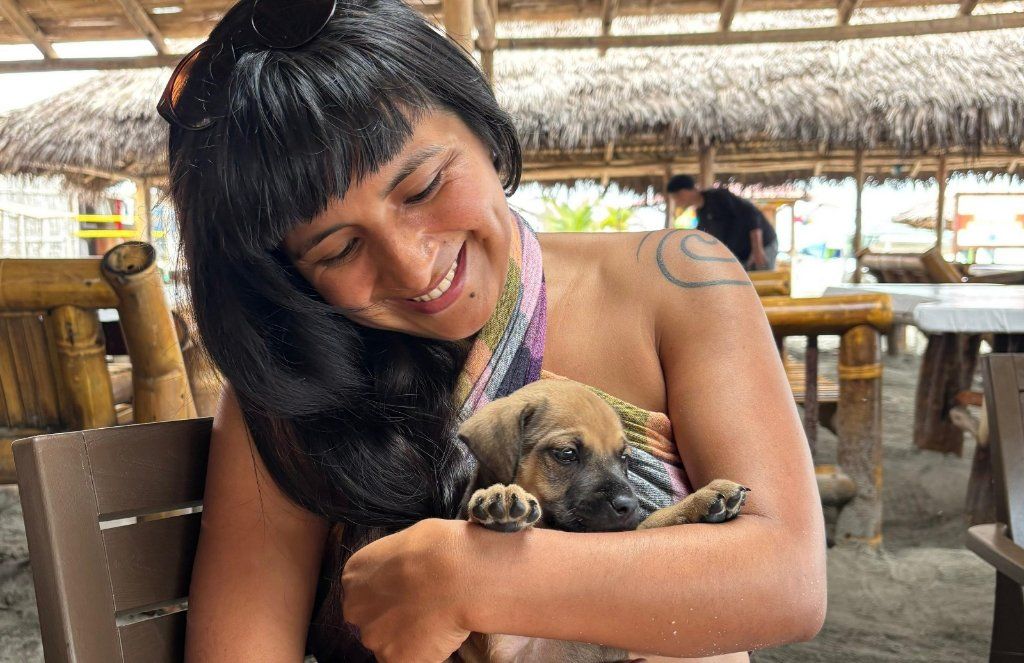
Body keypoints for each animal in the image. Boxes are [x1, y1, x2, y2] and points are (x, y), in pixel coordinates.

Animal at [452, 380, 749, 663]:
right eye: (567, 454)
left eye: (624, 457)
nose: (629, 506)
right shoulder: (501, 644)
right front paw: (497, 497)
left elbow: (652, 521)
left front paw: (703, 499)